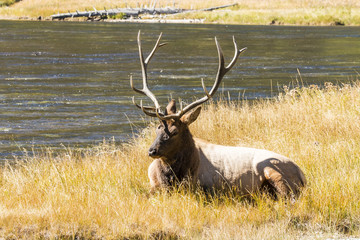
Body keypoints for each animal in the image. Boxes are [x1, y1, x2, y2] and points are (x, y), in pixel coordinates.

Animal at [131, 30, 306, 199]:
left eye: (175, 132)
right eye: (157, 128)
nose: (152, 151)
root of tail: (303, 176)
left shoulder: (205, 186)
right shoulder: (153, 184)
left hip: (276, 174)